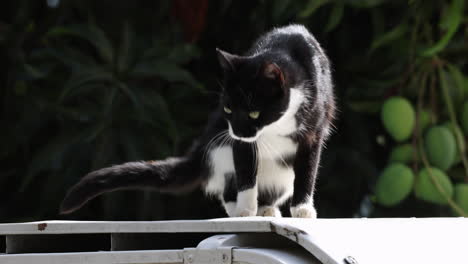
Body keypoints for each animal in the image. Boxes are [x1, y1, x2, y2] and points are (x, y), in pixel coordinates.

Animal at [60, 24, 334, 219]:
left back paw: (266, 209)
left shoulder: (313, 131)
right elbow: (246, 171)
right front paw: (246, 211)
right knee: (227, 186)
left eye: (254, 113)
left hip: (280, 172)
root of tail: (200, 153)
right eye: (228, 108)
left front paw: (302, 209)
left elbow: (308, 169)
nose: (237, 131)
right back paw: (246, 209)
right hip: (220, 150)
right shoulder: (239, 142)